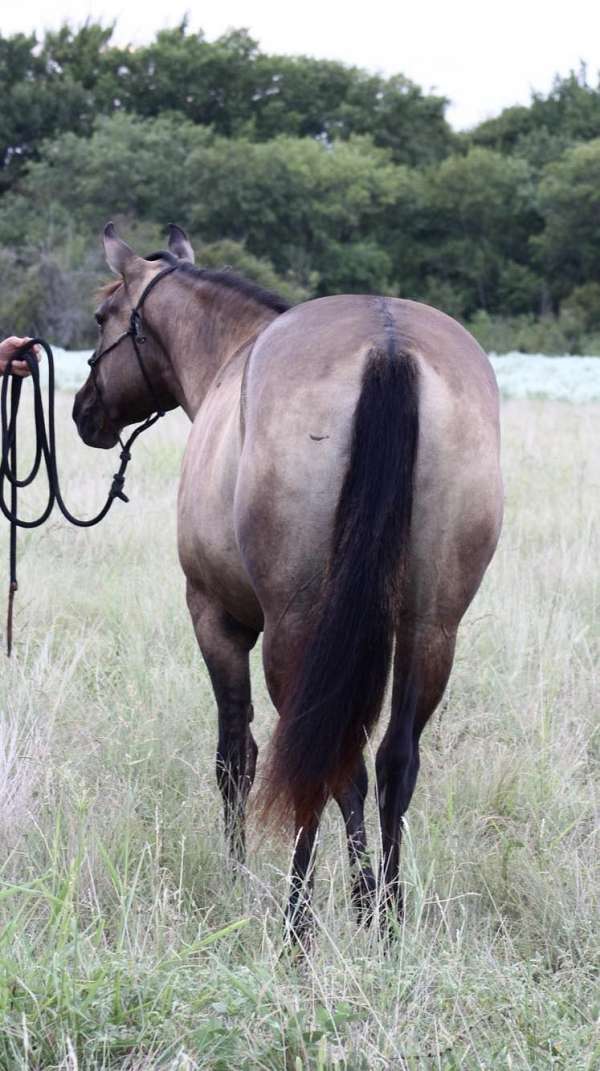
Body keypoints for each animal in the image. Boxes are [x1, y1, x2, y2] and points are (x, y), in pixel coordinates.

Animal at [72, 221, 501, 933]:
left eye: (103, 316)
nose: (84, 412)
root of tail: (389, 346)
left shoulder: (215, 618)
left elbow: (235, 757)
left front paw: (237, 873)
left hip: (295, 631)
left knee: (327, 765)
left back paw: (300, 921)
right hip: (432, 628)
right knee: (393, 762)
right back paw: (386, 918)